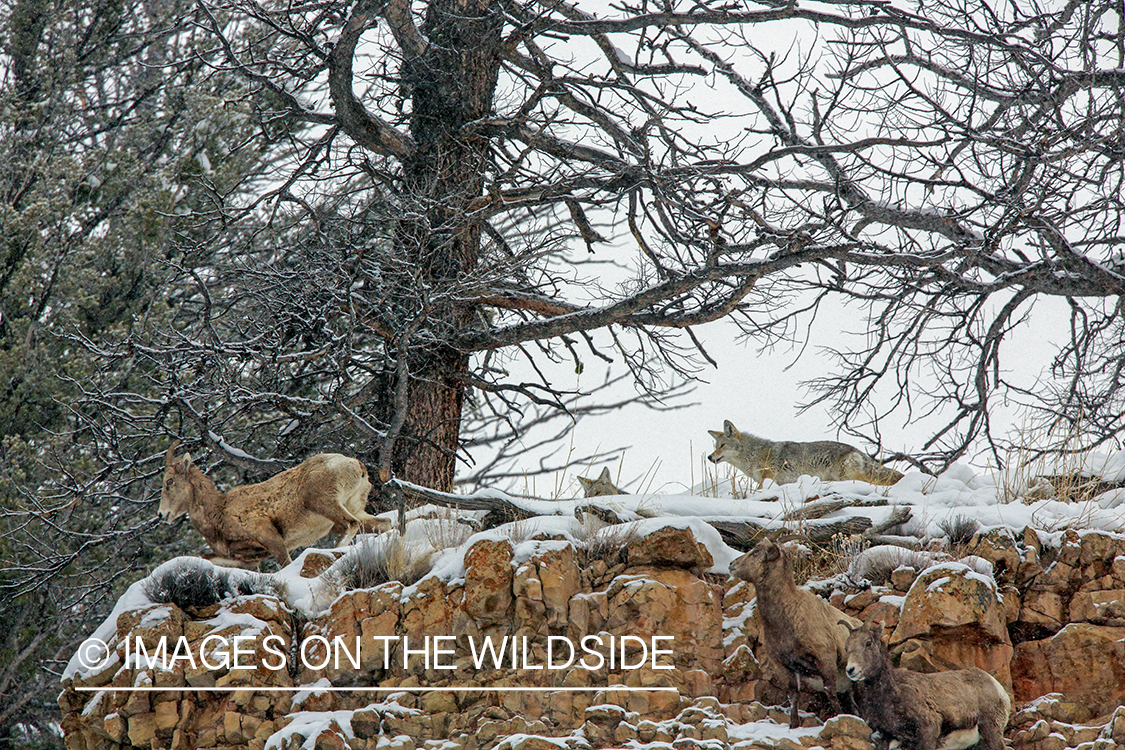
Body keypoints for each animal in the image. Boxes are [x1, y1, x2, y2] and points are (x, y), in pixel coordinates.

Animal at [159, 441, 391, 567]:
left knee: (351, 525)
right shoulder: (247, 558)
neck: (219, 512)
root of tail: (355, 465)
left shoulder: (271, 538)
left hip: (324, 504)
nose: (162, 514)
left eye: (169, 482)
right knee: (384, 524)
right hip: (355, 509)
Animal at [731, 537, 861, 729]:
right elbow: (792, 696)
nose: (731, 565)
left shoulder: (825, 659)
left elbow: (830, 691)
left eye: (756, 551)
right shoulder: (785, 666)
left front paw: (836, 718)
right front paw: (793, 725)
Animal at [842, 621, 1011, 750]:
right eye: (847, 647)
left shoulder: (928, 729)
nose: (851, 670)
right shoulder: (889, 739)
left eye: (868, 643)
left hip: (991, 730)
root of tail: (997, 687)